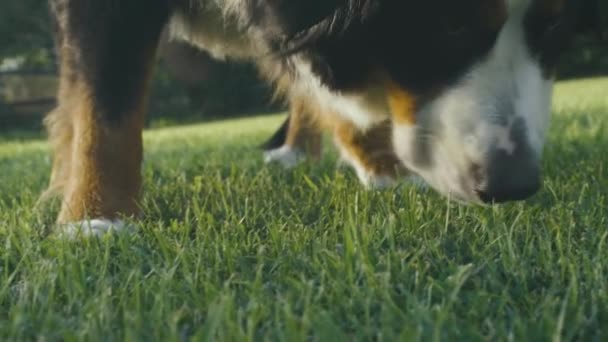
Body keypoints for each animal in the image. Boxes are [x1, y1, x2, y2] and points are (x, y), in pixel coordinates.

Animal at [46, 0, 600, 235]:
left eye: (555, 26)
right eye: (449, 26)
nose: (513, 183)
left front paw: (381, 169)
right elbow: (105, 106)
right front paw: (96, 215)